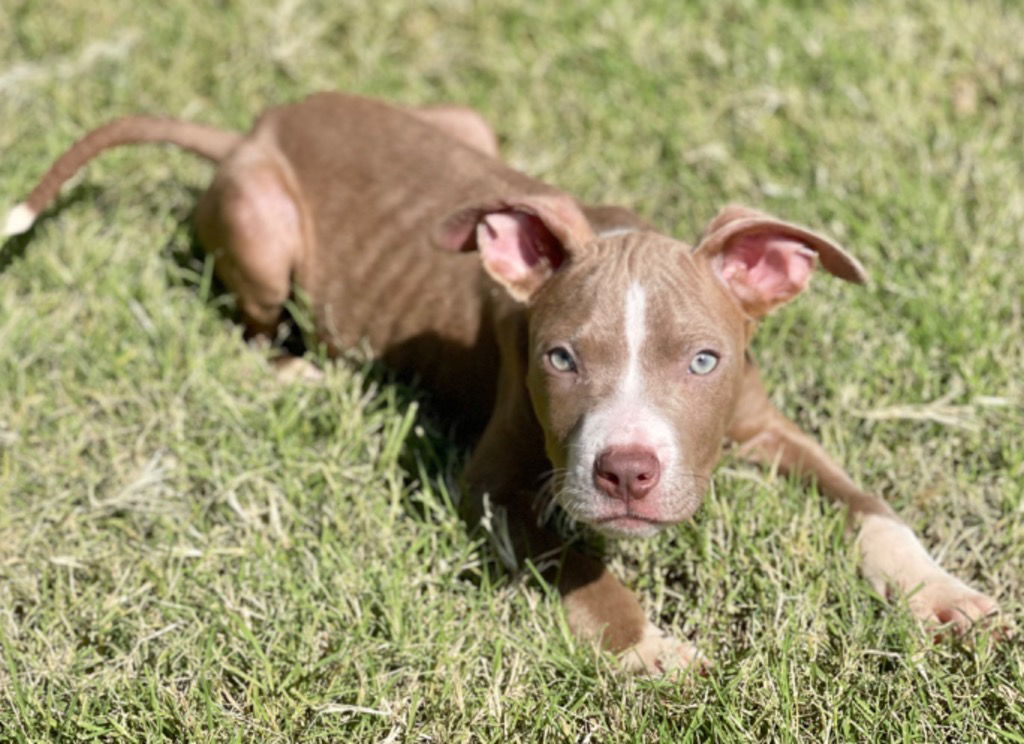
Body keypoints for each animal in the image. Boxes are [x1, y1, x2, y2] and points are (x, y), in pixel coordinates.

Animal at [6, 93, 999, 675]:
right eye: (560, 358)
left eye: (704, 361)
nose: (627, 473)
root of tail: (250, 130)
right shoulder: (494, 483)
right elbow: (582, 566)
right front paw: (650, 652)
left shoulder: (767, 426)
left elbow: (871, 509)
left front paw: (939, 593)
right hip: (259, 223)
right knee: (257, 336)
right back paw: (313, 378)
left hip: (464, 125)